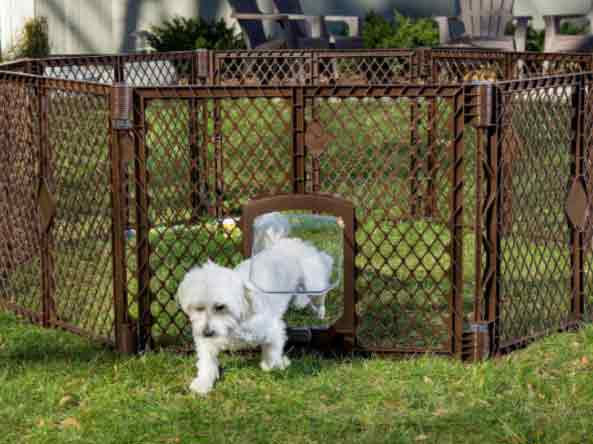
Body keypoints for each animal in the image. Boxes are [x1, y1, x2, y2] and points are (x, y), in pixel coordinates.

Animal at [176, 239, 332, 396]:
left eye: (220, 307)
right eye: (198, 308)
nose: (207, 332)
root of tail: (296, 242)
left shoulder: (273, 330)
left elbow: (272, 354)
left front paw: (276, 364)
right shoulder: (207, 342)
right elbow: (206, 363)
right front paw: (202, 383)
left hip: (315, 288)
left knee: (320, 301)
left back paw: (320, 315)